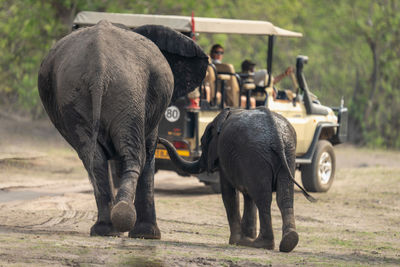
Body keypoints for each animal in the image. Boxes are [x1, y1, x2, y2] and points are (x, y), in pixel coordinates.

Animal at [38, 19, 208, 240]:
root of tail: (98, 64)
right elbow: (149, 150)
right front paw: (148, 235)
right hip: (128, 91)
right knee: (134, 156)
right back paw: (123, 217)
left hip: (76, 94)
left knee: (94, 159)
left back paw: (105, 229)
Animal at [159, 107, 316, 253]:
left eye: (202, 142)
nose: (159, 140)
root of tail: (276, 134)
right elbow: (248, 196)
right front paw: (245, 238)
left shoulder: (226, 157)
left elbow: (229, 194)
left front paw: (235, 241)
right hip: (287, 153)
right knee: (283, 196)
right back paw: (288, 241)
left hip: (257, 155)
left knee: (263, 199)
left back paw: (260, 244)